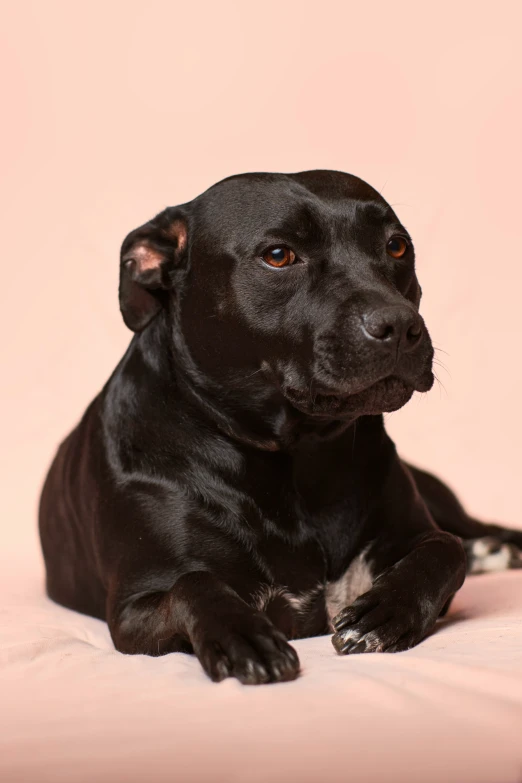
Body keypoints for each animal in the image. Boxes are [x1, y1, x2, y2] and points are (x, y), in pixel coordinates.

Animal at [39, 173, 520, 688]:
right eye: (278, 255)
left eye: (396, 246)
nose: (400, 325)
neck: (300, 456)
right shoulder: (134, 607)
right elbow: (194, 583)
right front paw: (242, 635)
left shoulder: (412, 532)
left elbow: (443, 551)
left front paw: (384, 613)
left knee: (471, 531)